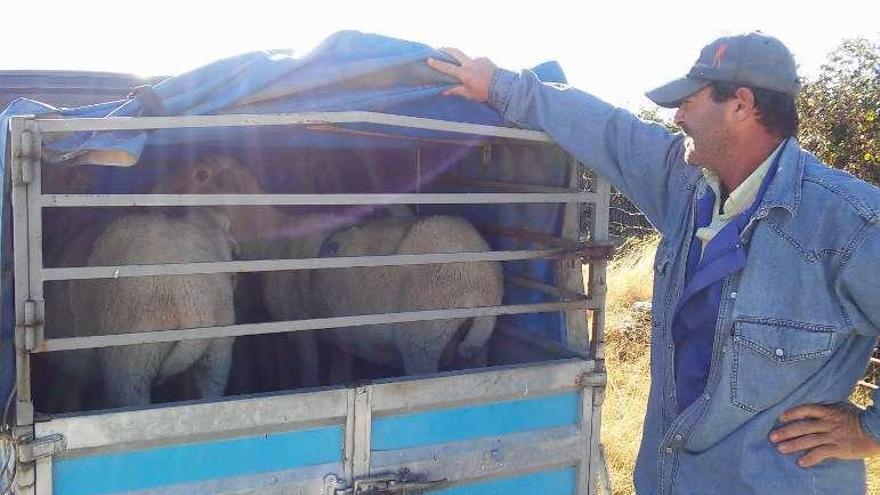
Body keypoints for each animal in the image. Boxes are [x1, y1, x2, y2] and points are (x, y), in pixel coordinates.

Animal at [158, 157, 502, 382]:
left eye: (202, 173)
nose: (155, 191)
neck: (272, 240)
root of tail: (481, 281)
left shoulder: (301, 327)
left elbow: (310, 372)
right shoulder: (341, 335)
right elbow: (339, 371)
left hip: (422, 335)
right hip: (475, 345)